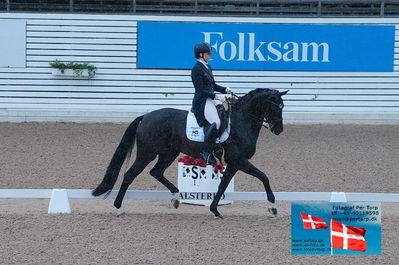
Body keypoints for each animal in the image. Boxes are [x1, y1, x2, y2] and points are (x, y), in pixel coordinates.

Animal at [92, 87, 290, 218]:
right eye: (275, 107)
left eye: (282, 106)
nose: (279, 129)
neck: (242, 122)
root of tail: (146, 117)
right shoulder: (239, 160)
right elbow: (264, 177)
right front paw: (272, 206)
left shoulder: (234, 163)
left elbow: (222, 185)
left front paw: (215, 210)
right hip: (147, 153)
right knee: (129, 175)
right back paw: (118, 208)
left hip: (169, 153)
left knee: (156, 172)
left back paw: (176, 197)